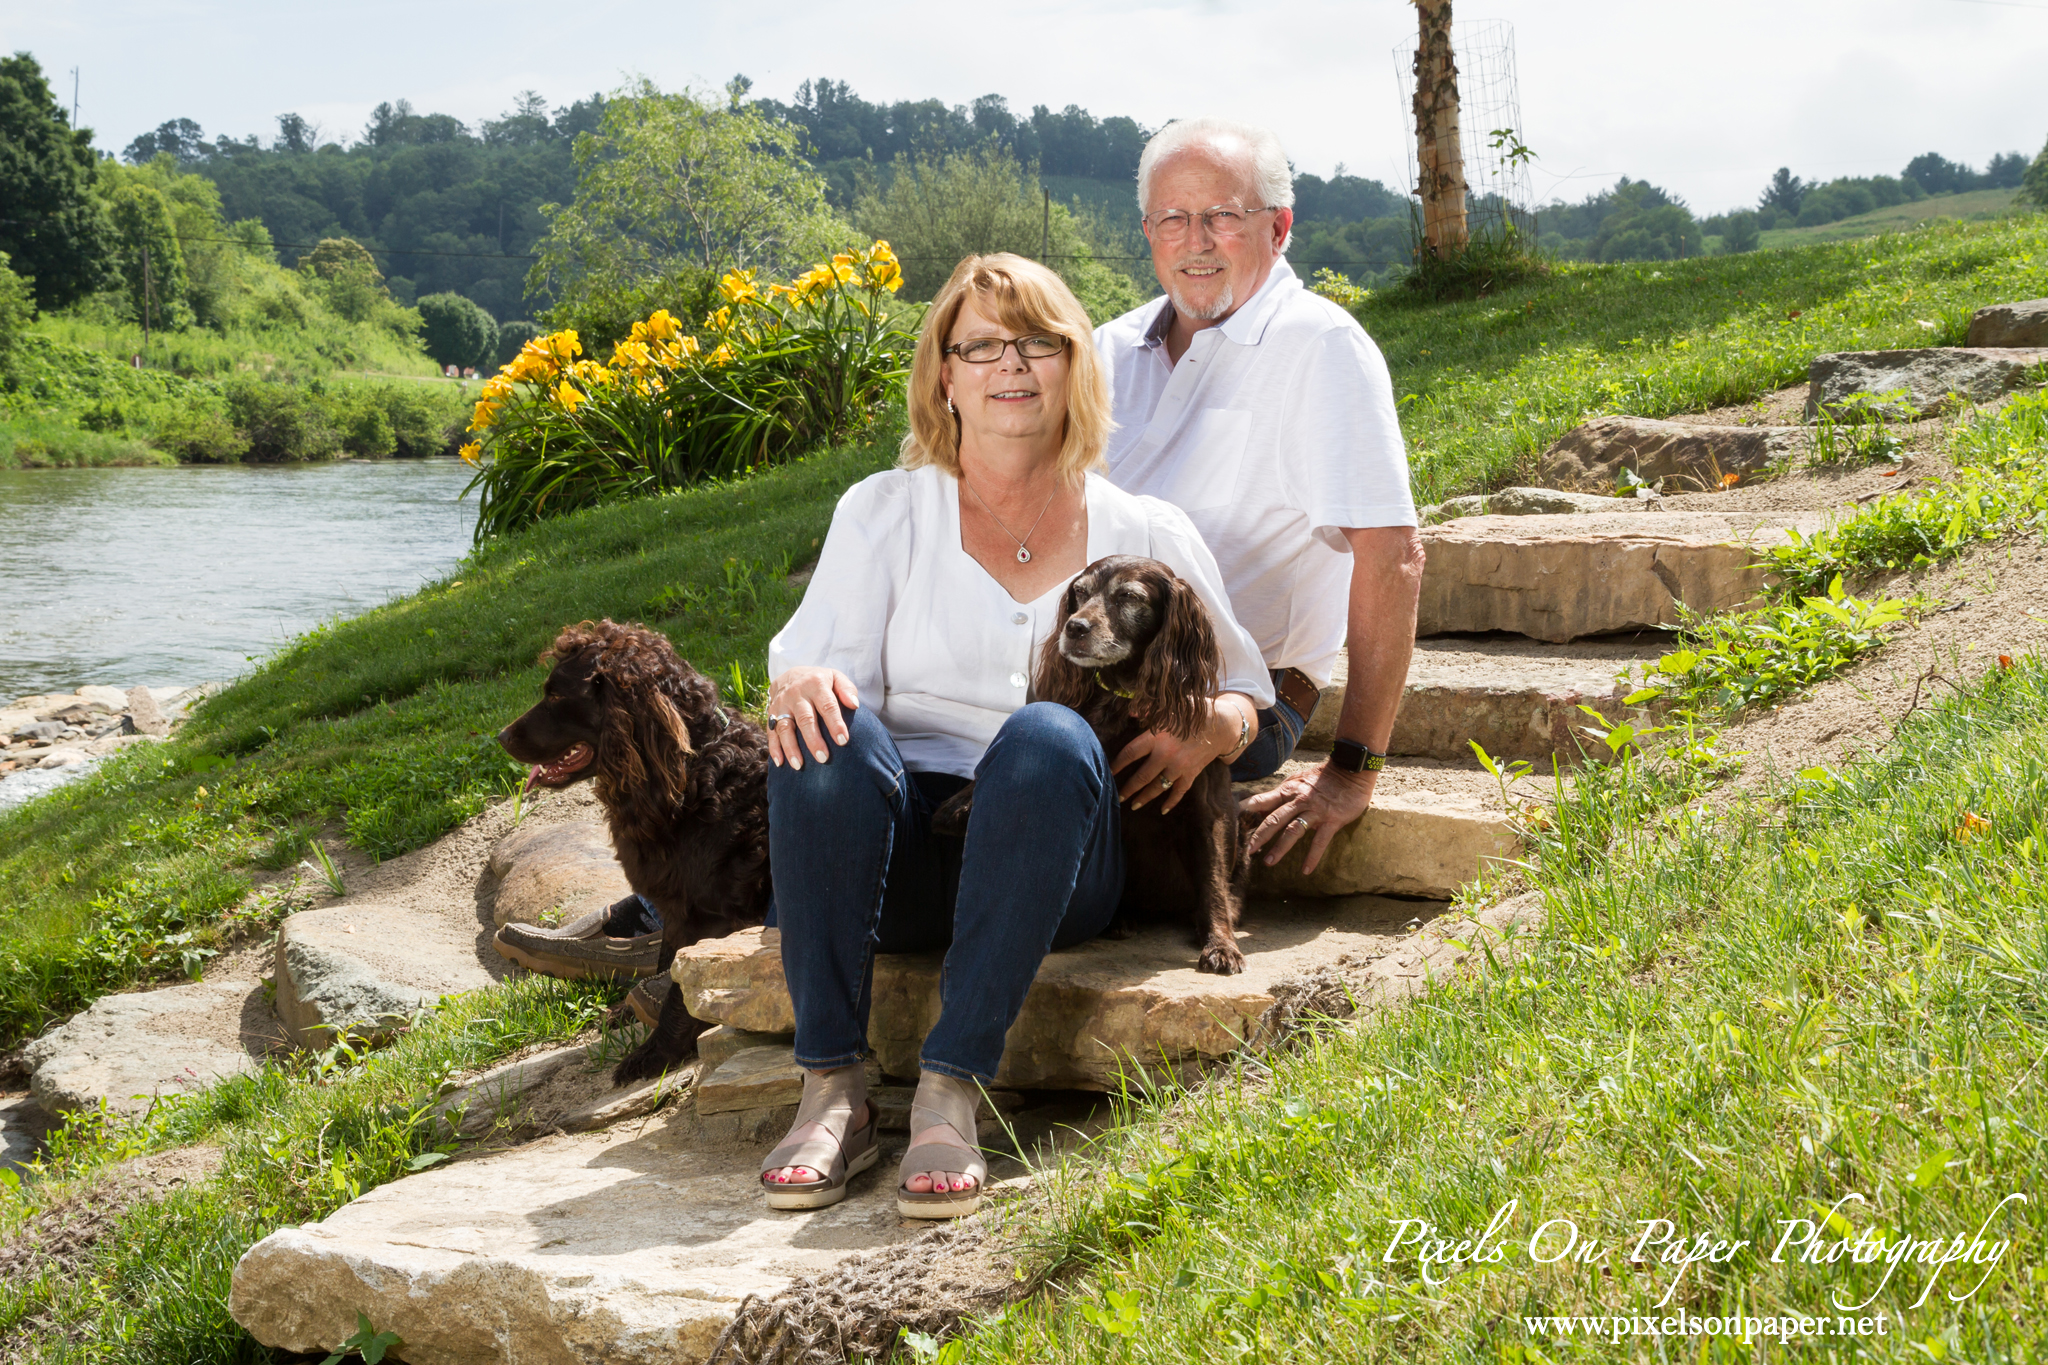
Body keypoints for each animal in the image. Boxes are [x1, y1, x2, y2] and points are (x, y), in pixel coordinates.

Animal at [499, 618, 770, 1080]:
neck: (690, 772)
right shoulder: (675, 909)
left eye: (555, 695)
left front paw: (656, 1052)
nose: (501, 737)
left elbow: (681, 988)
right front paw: (634, 1011)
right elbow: (666, 962)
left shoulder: (709, 917)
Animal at [929, 552, 1245, 970]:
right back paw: (1121, 918)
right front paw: (959, 803)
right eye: (1079, 592)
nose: (1074, 627)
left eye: (1129, 596)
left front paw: (1221, 945)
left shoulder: (1202, 807)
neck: (1125, 699)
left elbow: (1212, 883)